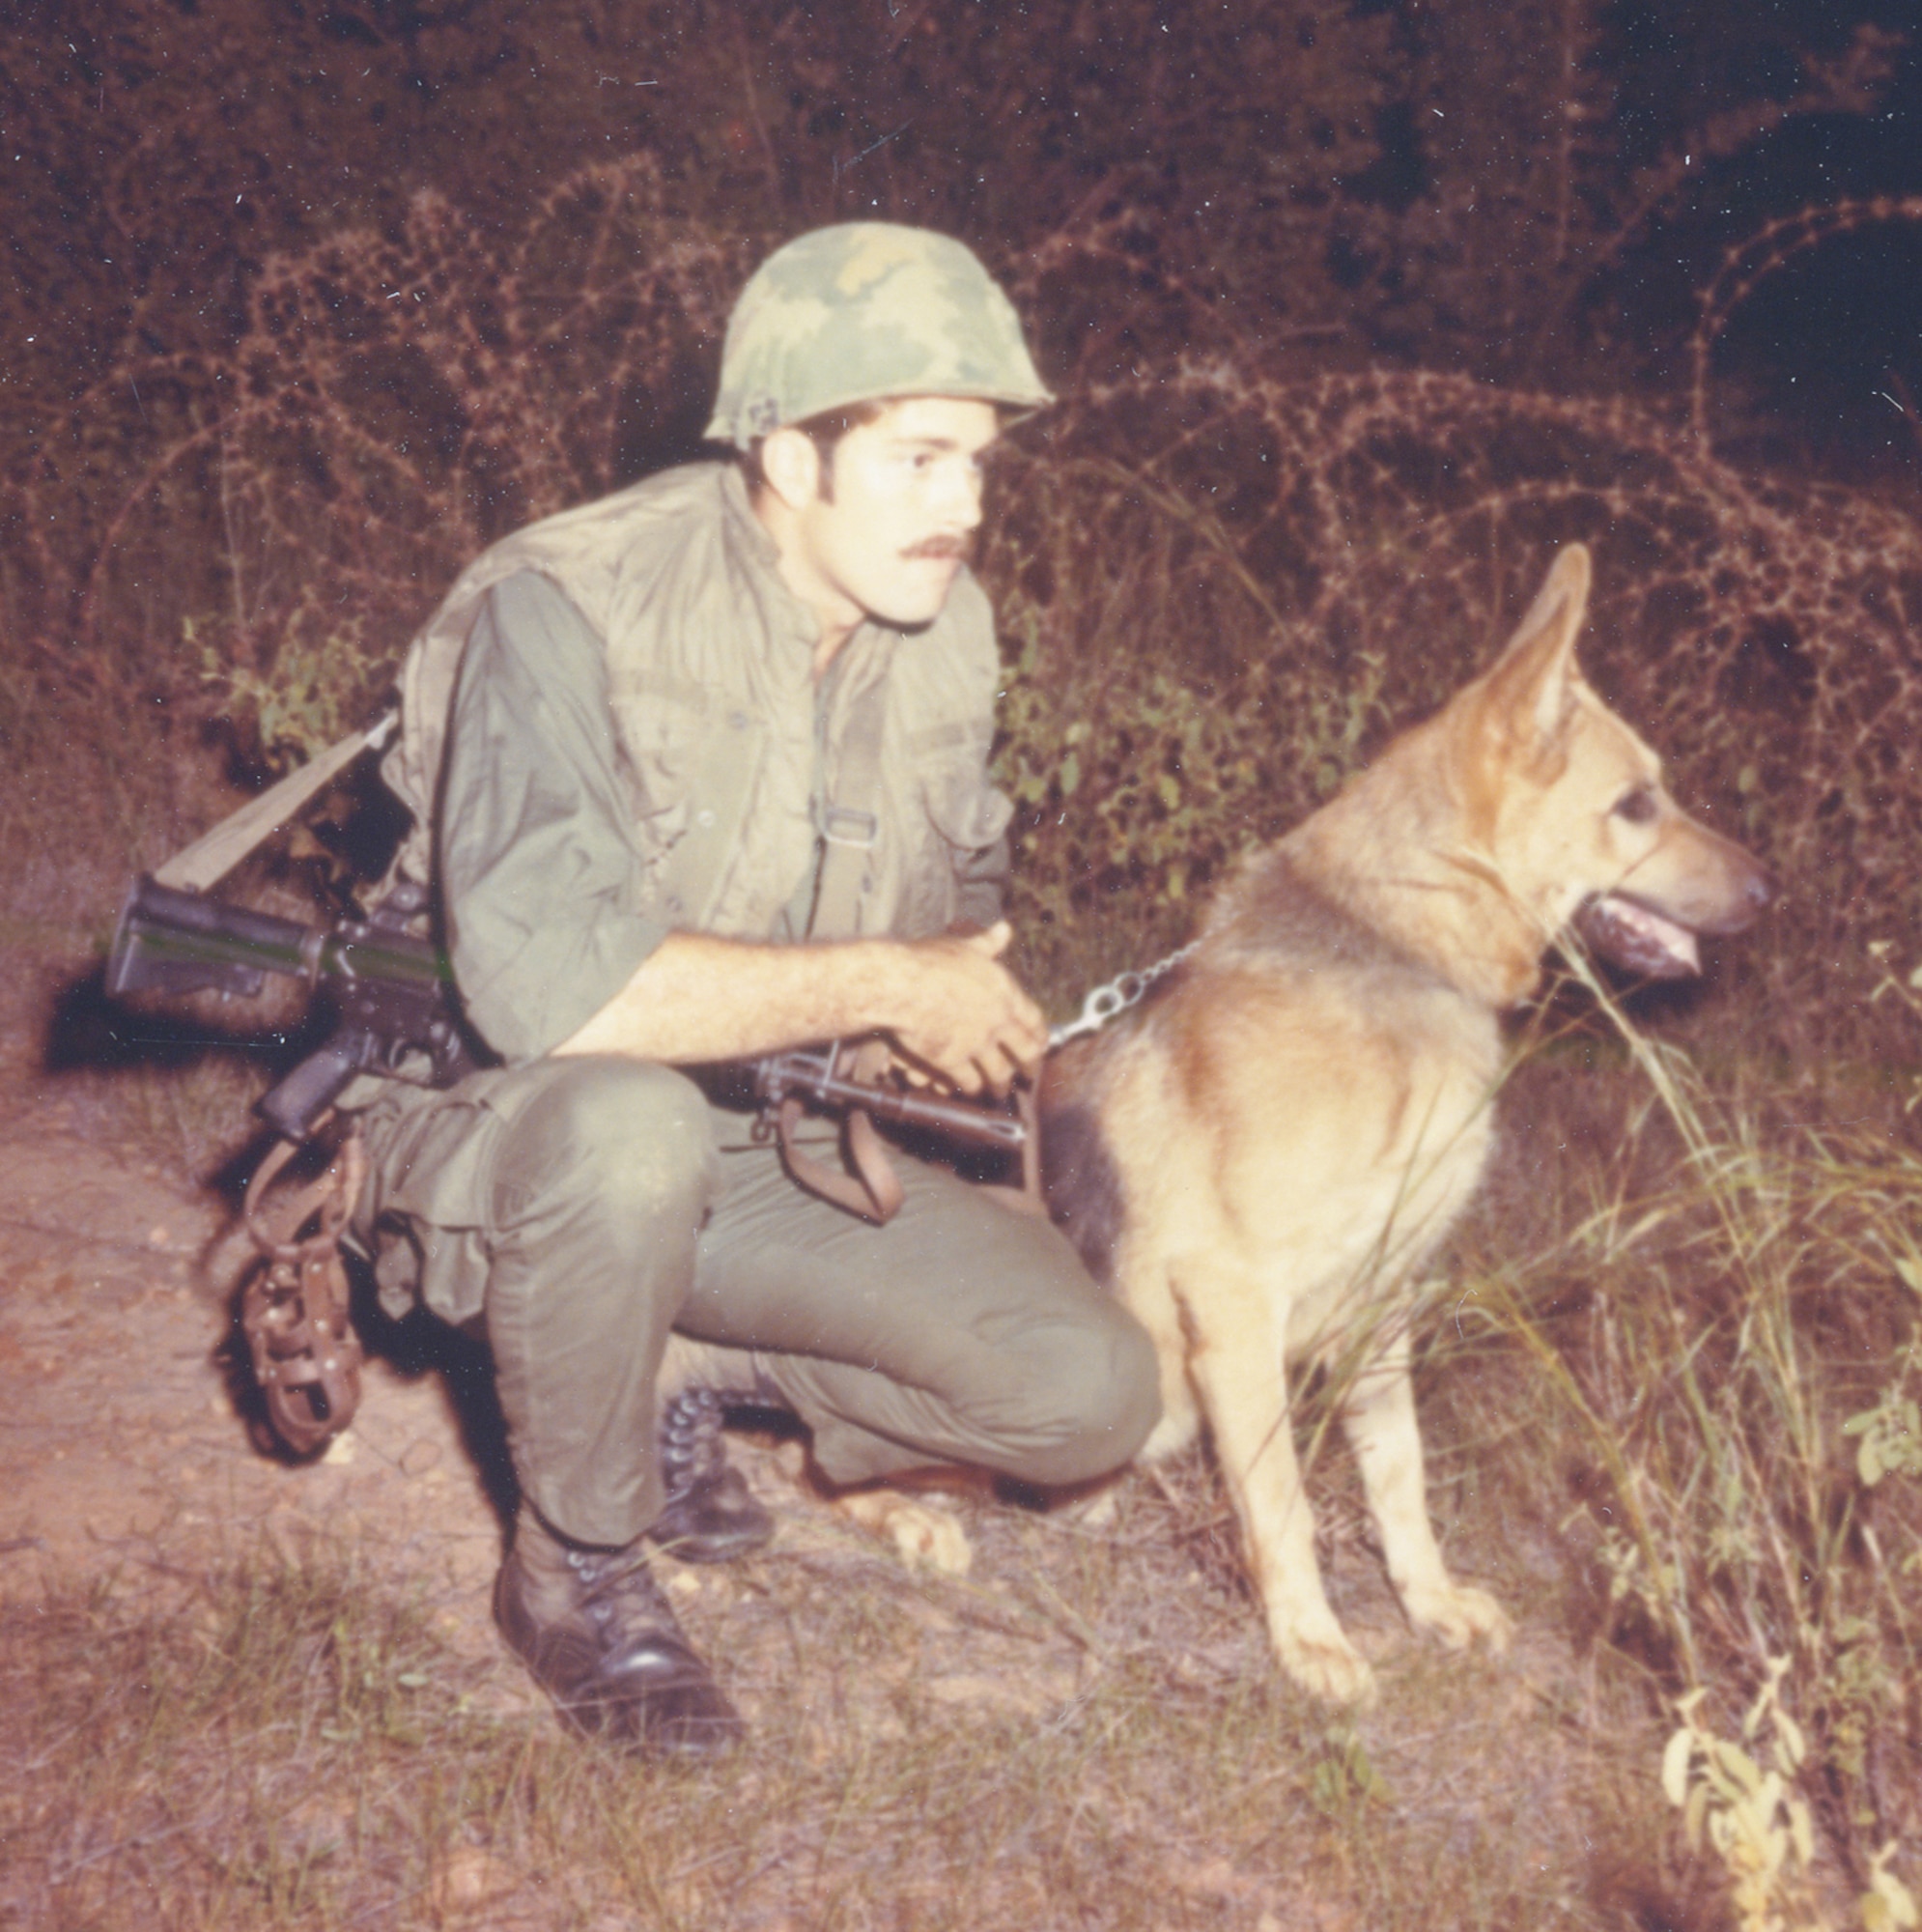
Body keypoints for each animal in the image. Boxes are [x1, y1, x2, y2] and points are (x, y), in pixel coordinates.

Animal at [1035, 549, 1777, 1708]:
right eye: (1636, 804)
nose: (1768, 889)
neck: (1402, 949)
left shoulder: (1383, 1303)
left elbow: (1401, 1479)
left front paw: (1426, 1604)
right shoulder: (1234, 1304)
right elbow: (1283, 1502)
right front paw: (1311, 1642)